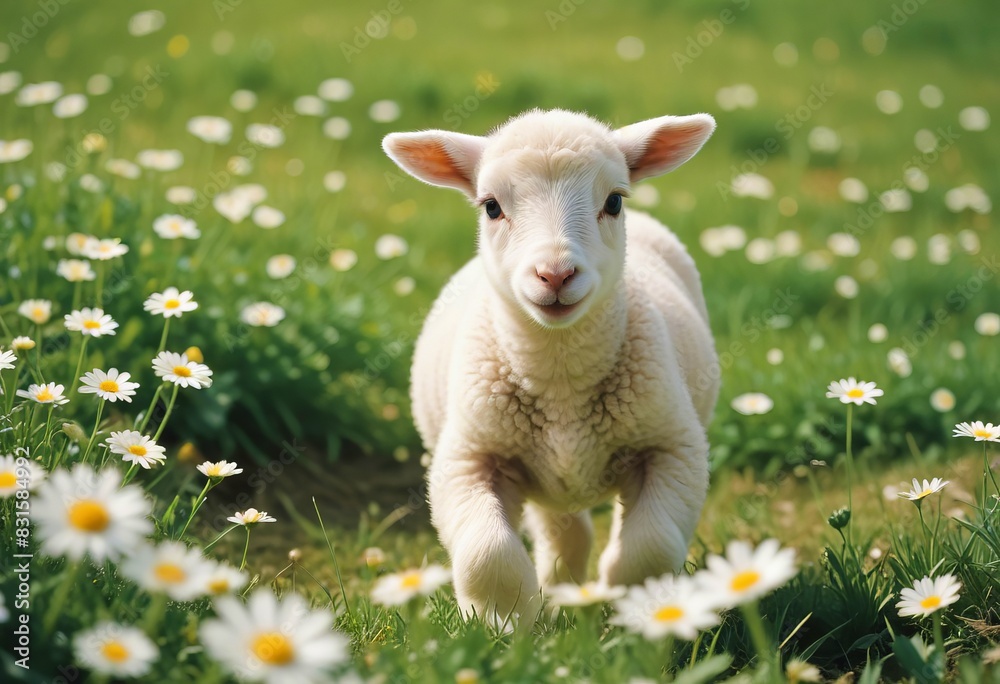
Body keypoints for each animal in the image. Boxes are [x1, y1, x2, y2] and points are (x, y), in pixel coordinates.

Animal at [382, 109, 718, 623]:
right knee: (565, 530)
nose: (556, 275)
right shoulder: (469, 459)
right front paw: (502, 623)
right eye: (491, 207)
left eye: (614, 202)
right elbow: (487, 553)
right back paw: (561, 594)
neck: (561, 380)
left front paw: (636, 612)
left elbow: (651, 548)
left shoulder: (671, 450)